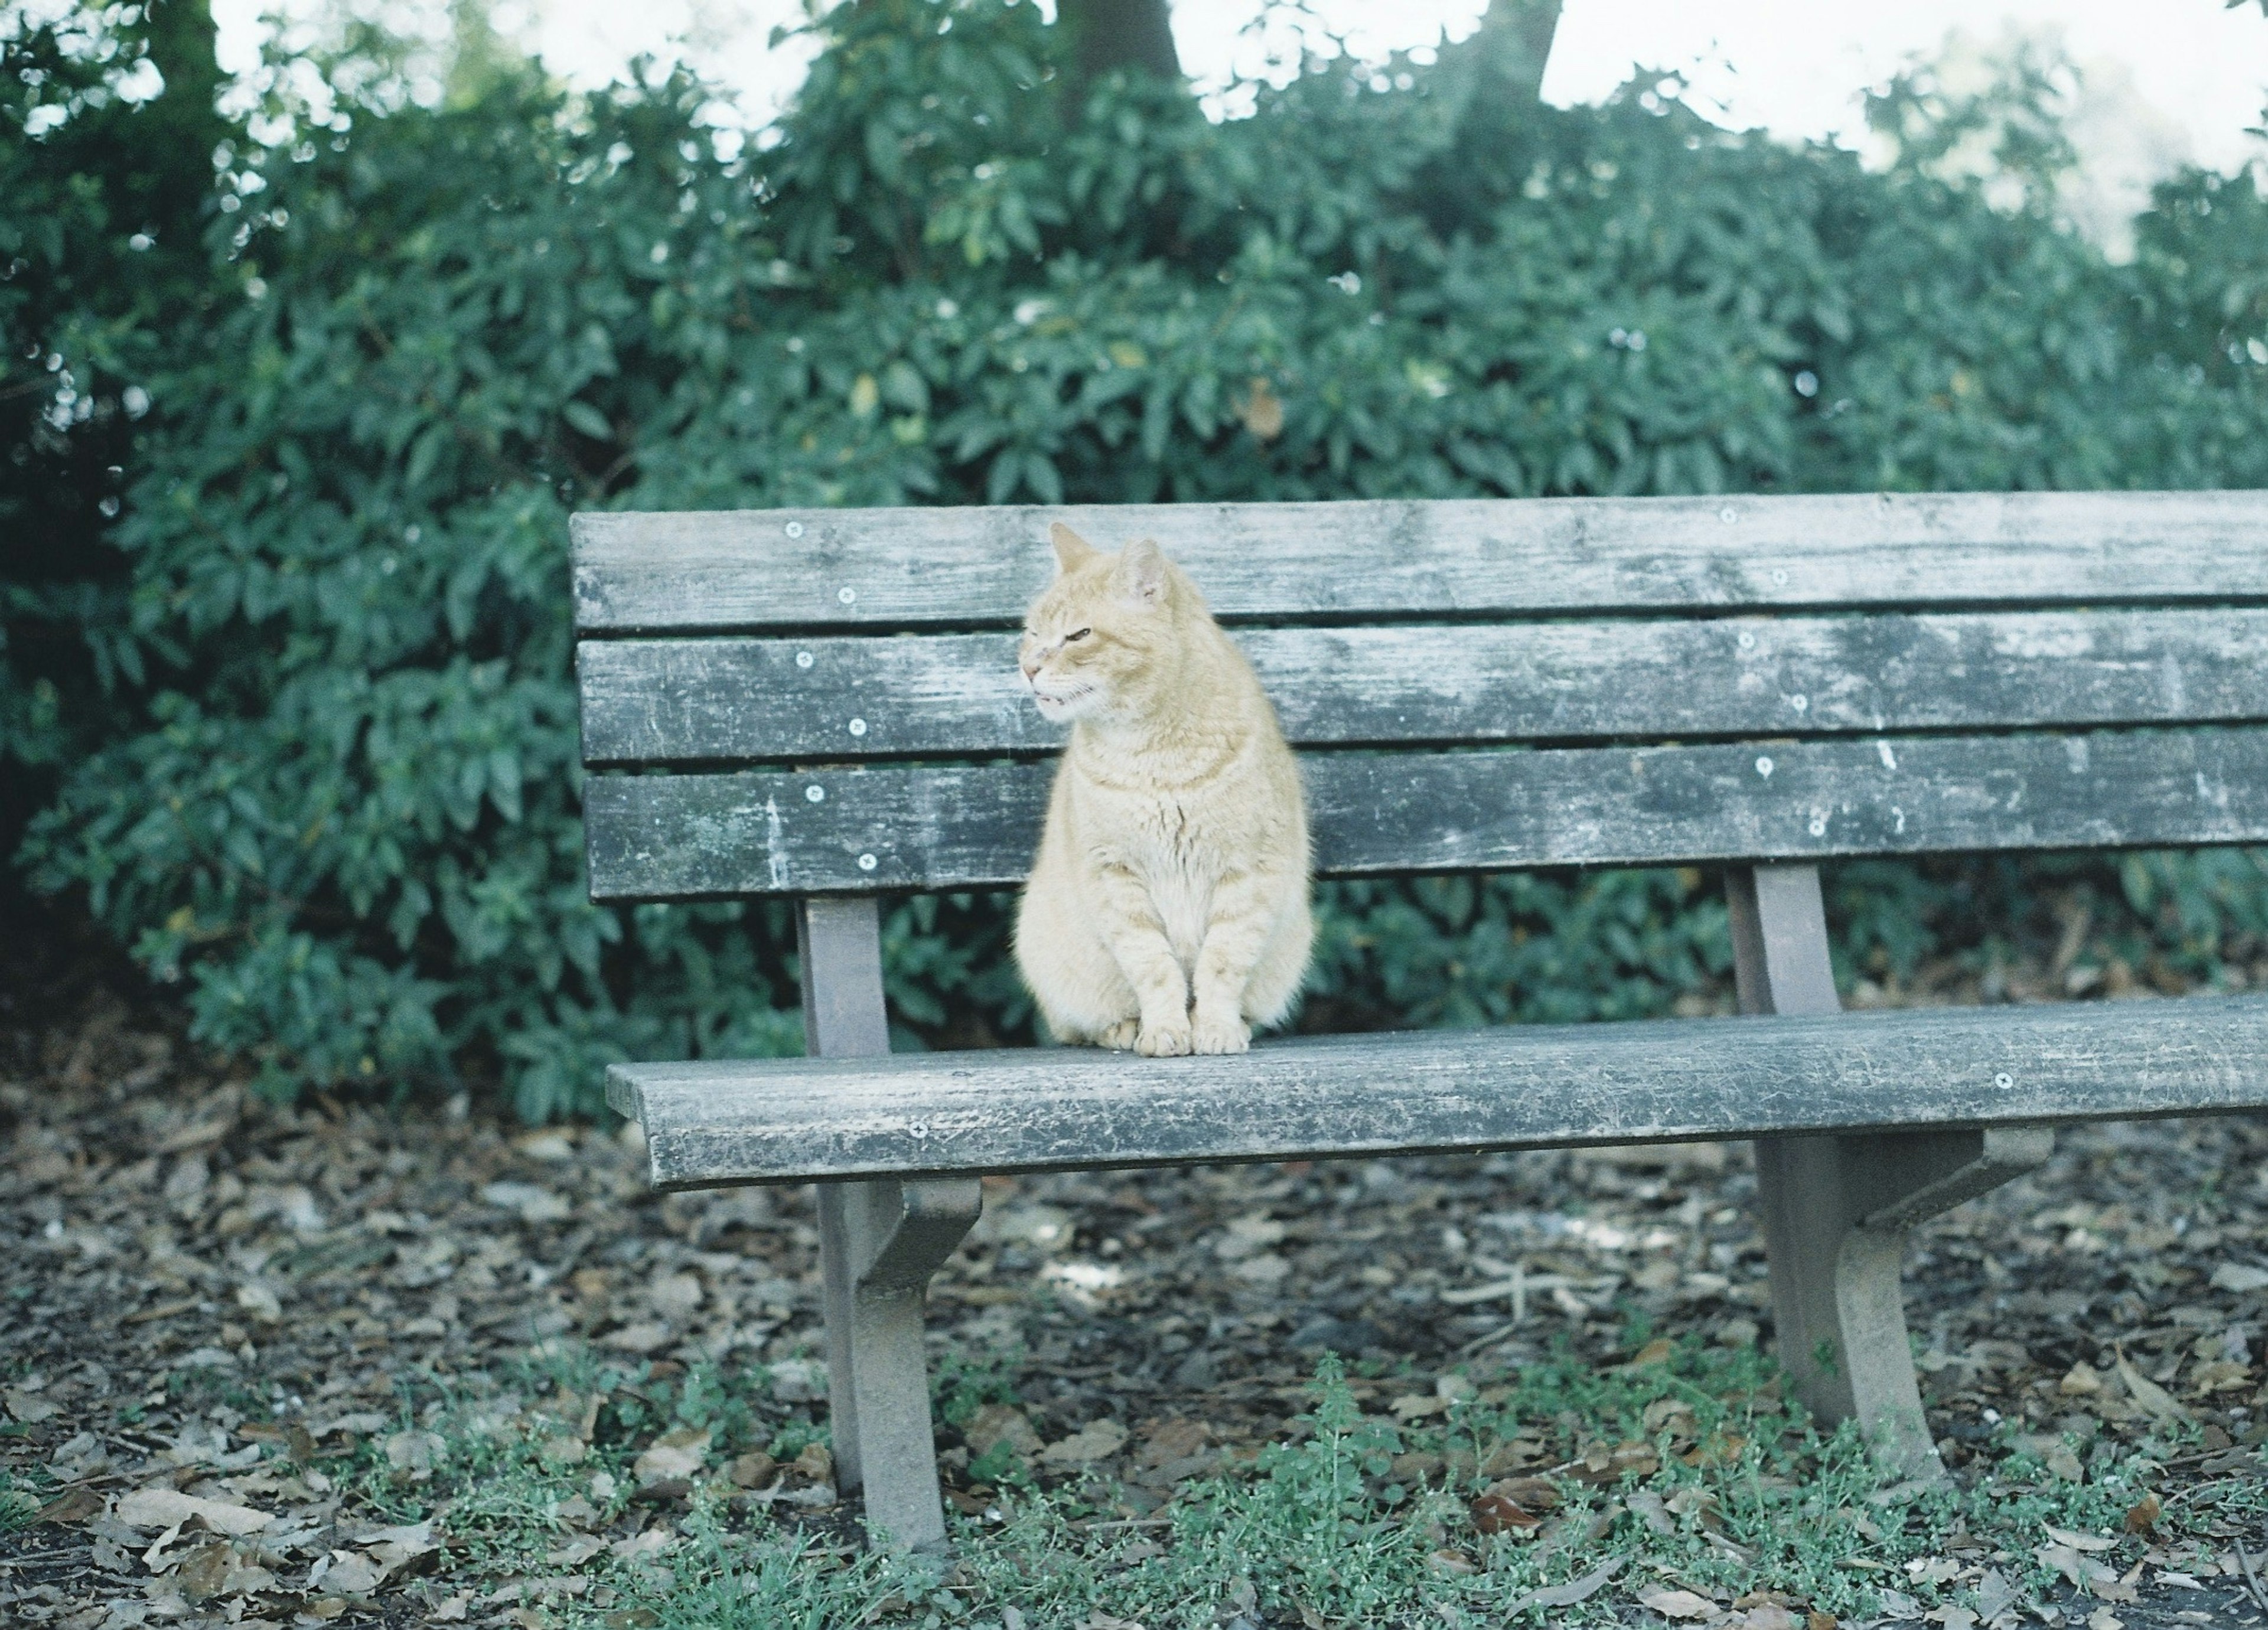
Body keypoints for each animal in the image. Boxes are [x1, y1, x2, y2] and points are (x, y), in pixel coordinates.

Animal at [1016, 526, 1315, 1056]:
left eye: (1079, 635)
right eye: (1032, 632)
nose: (1029, 668)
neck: (1153, 754)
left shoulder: (1248, 874)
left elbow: (1222, 964)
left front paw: (1215, 1028)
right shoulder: (1116, 879)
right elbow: (1154, 967)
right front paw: (1165, 1030)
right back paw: (1123, 1030)